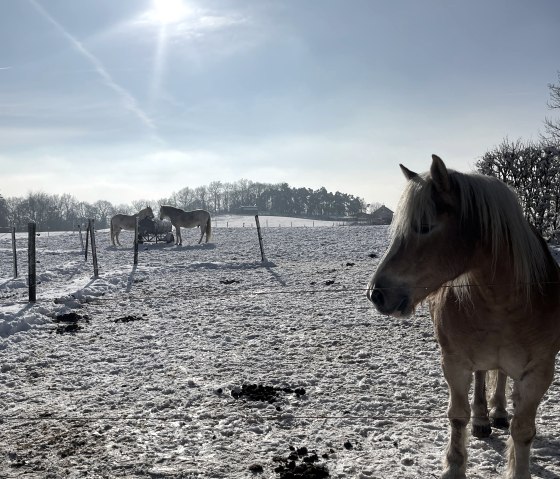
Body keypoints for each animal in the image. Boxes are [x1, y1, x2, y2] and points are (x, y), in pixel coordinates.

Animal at [368, 157, 560, 479]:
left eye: (424, 226)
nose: (376, 294)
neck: (503, 303)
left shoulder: (538, 373)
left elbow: (522, 430)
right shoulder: (454, 363)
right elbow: (458, 416)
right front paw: (454, 467)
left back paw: (498, 412)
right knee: (483, 376)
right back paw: (483, 418)